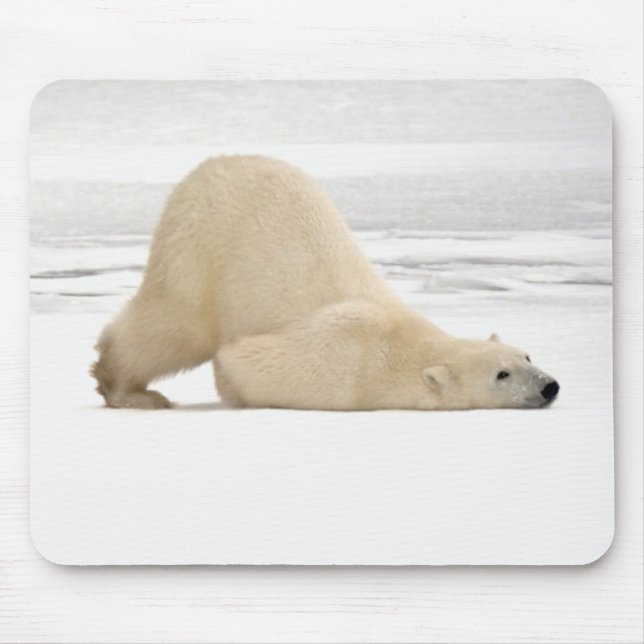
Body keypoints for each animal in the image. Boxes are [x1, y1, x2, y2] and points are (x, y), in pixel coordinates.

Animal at [92, 155, 559, 411]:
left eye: (527, 355)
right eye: (502, 374)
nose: (549, 386)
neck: (401, 343)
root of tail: (210, 165)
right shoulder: (345, 362)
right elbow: (241, 359)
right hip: (200, 248)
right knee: (173, 326)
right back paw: (129, 390)